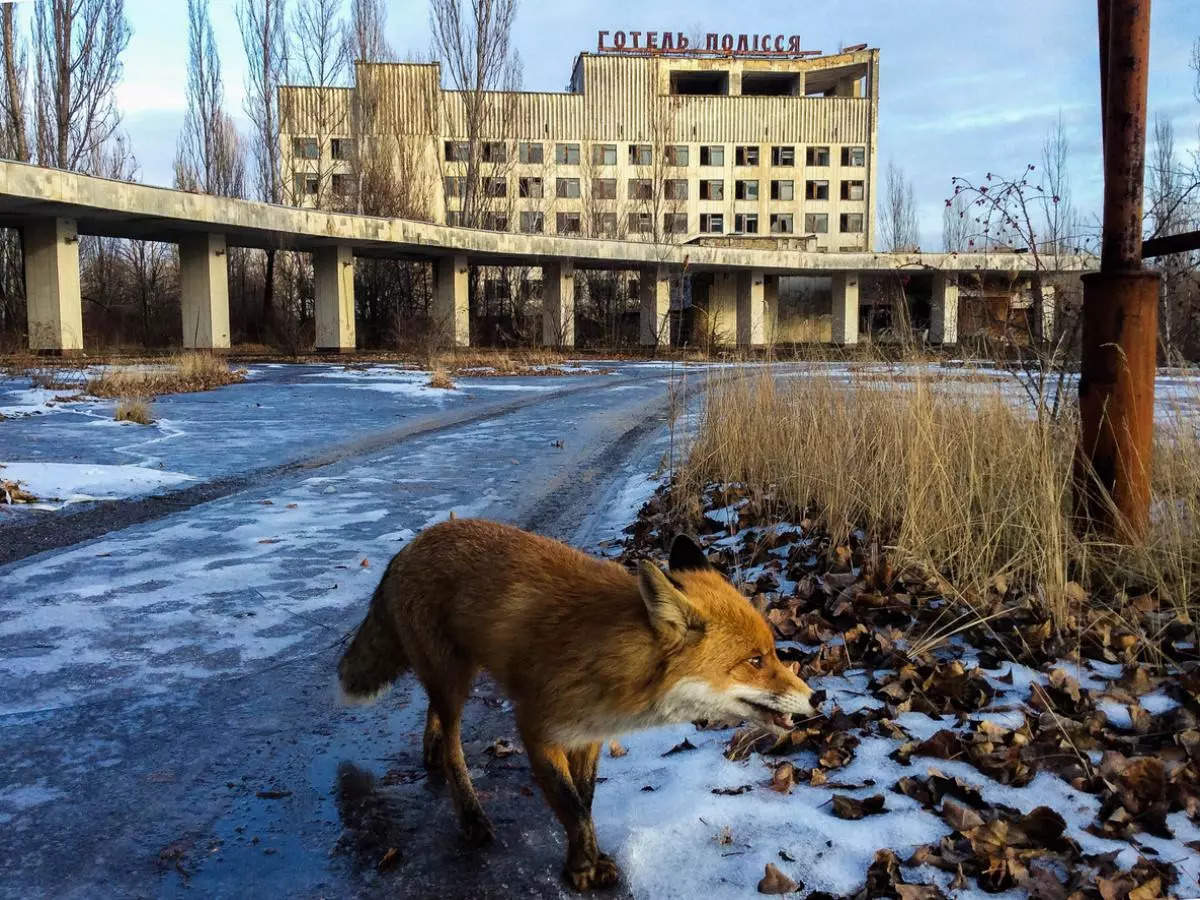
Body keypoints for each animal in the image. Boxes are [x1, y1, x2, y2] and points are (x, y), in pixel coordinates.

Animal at [343, 518, 820, 892]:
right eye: (755, 661)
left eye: (773, 652)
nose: (819, 696)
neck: (611, 660)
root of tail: (413, 543)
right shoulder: (536, 729)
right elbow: (570, 806)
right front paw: (582, 870)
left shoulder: (589, 732)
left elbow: (586, 801)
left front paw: (589, 857)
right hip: (453, 678)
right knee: (453, 745)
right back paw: (470, 813)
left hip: (455, 675)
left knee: (436, 716)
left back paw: (430, 748)